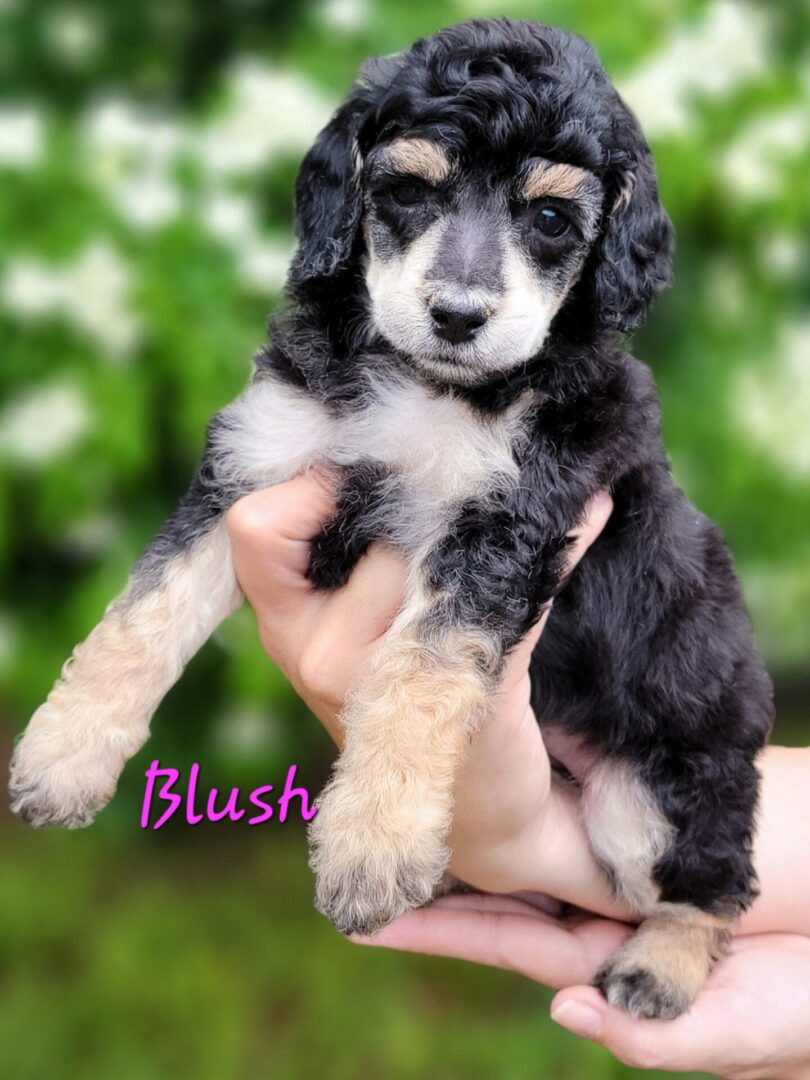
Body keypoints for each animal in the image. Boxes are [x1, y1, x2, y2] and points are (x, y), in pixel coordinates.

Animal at [11, 19, 773, 1019]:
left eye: (550, 220)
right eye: (408, 191)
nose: (457, 315)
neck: (428, 385)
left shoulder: (501, 526)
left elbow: (417, 677)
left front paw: (373, 850)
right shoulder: (259, 459)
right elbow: (145, 610)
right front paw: (62, 754)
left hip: (664, 790)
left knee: (717, 880)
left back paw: (661, 967)